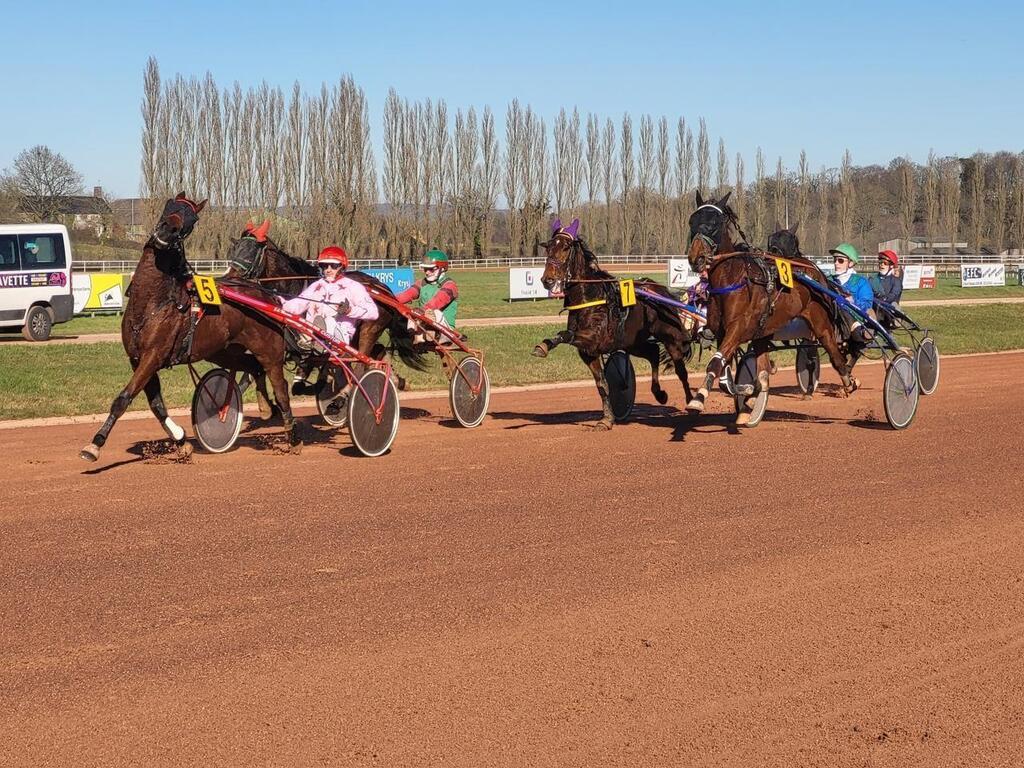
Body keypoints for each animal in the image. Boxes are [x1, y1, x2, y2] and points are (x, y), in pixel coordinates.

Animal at [80, 196, 299, 462]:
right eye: (169, 206)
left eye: (192, 220)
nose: (166, 231)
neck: (152, 301)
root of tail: (266, 294)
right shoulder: (137, 359)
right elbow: (156, 404)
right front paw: (181, 440)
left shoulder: (153, 356)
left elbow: (124, 398)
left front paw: (95, 444)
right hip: (224, 351)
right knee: (254, 368)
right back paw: (266, 408)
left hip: (269, 350)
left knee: (280, 386)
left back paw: (291, 436)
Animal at [532, 219, 692, 430]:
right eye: (549, 248)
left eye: (565, 247)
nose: (547, 280)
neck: (590, 297)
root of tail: (660, 290)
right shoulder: (589, 352)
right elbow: (602, 384)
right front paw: (607, 419)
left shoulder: (594, 338)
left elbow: (565, 334)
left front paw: (543, 346)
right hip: (632, 342)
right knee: (652, 353)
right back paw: (659, 393)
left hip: (670, 337)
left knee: (681, 370)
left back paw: (692, 402)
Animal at [688, 189, 856, 423]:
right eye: (692, 222)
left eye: (714, 224)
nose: (696, 258)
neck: (732, 280)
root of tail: (814, 269)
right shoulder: (723, 333)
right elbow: (726, 377)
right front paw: (747, 391)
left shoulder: (738, 328)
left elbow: (715, 364)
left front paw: (698, 398)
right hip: (763, 333)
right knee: (764, 369)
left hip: (821, 324)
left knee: (835, 355)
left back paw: (849, 382)